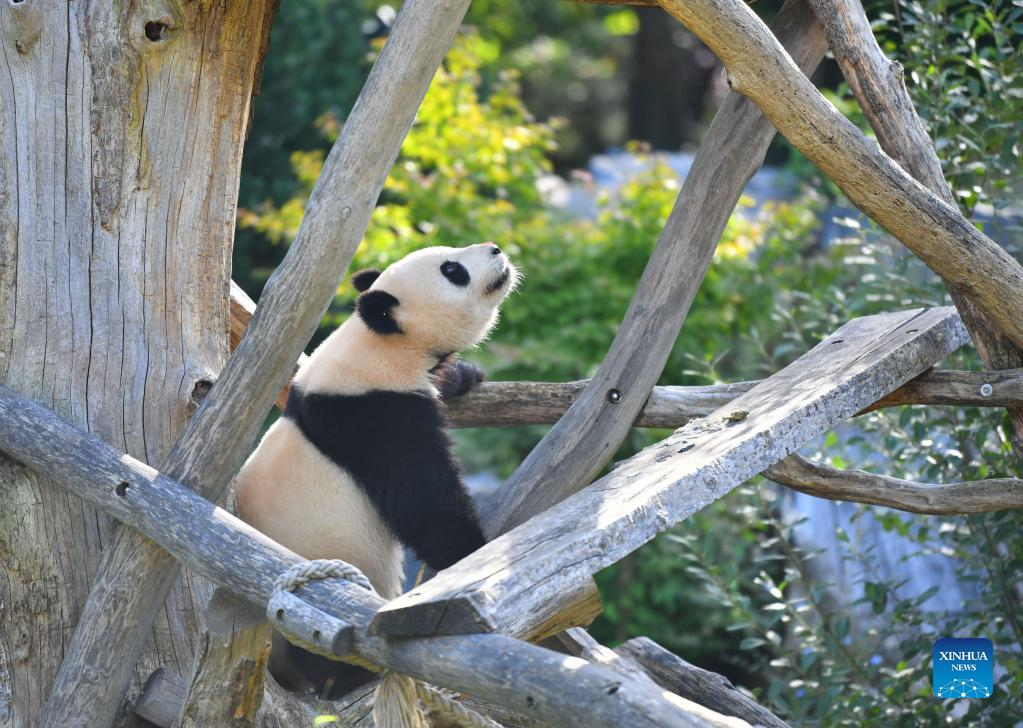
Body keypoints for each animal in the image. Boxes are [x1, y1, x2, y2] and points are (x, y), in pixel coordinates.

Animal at [235, 241, 515, 695]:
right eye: (452, 270)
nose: (495, 249)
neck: (378, 343)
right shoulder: (374, 414)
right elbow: (425, 504)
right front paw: (470, 552)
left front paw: (463, 374)